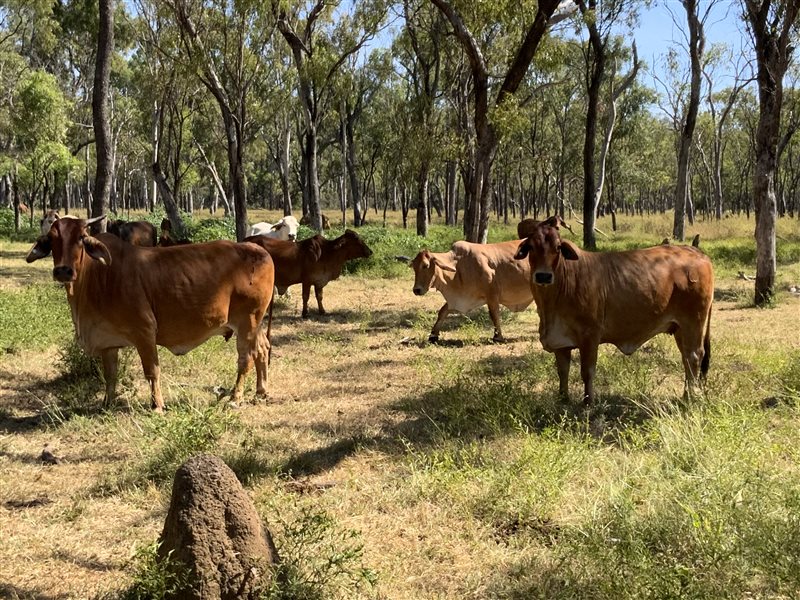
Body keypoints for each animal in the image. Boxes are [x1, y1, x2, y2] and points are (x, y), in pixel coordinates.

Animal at [26, 215, 275, 412]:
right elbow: (110, 375)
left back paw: (235, 397)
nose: (63, 271)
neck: (97, 276)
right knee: (263, 348)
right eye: (52, 239)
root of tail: (261, 251)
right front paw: (107, 403)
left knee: (245, 358)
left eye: (80, 237)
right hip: (254, 323)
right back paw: (261, 391)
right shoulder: (108, 342)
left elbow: (152, 371)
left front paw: (157, 405)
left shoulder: (144, 331)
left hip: (247, 321)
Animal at [513, 216, 714, 403]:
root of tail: (697, 252)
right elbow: (563, 371)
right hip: (679, 328)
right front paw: (563, 398)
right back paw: (685, 395)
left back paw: (691, 398)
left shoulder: (590, 335)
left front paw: (588, 402)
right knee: (686, 358)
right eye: (531, 247)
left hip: (694, 322)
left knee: (694, 356)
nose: (543, 276)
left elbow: (587, 371)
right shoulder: (561, 342)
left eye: (557, 247)